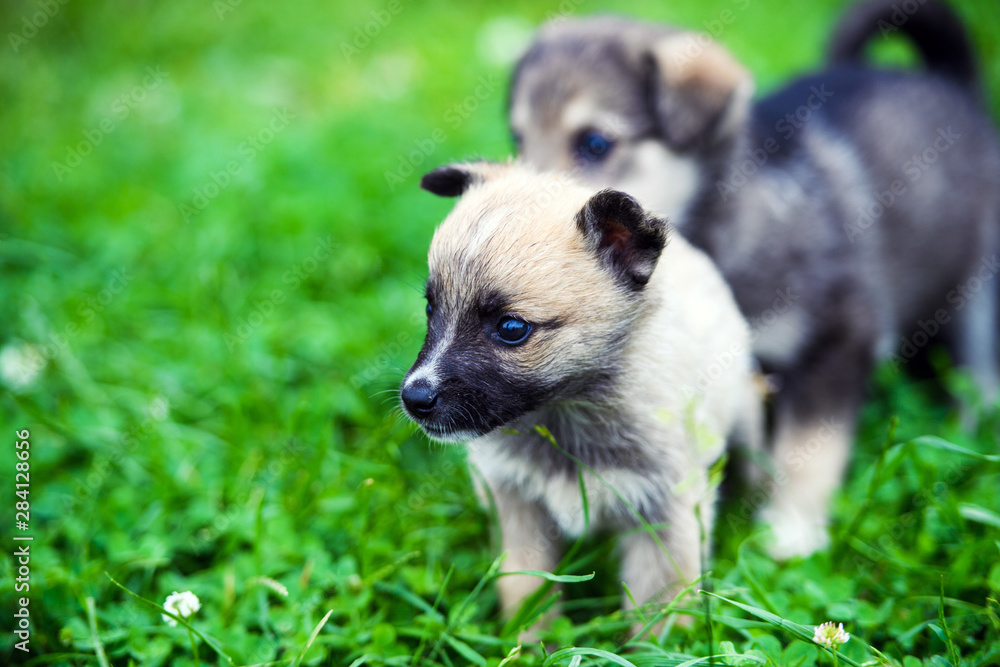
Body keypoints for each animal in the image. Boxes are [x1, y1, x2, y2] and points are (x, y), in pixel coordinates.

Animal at [508, 0, 1000, 560]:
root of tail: (950, 83)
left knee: (976, 367)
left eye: (594, 143)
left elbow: (808, 449)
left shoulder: (838, 336)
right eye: (518, 139)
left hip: (978, 285)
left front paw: (789, 532)